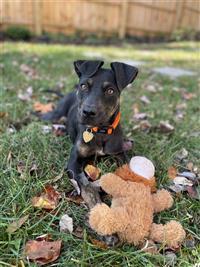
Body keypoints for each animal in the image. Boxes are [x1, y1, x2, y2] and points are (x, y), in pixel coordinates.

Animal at [43, 61, 138, 209]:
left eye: (110, 90)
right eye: (83, 86)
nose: (88, 112)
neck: (100, 131)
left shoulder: (119, 153)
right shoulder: (73, 162)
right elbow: (86, 187)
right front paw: (98, 206)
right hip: (55, 115)